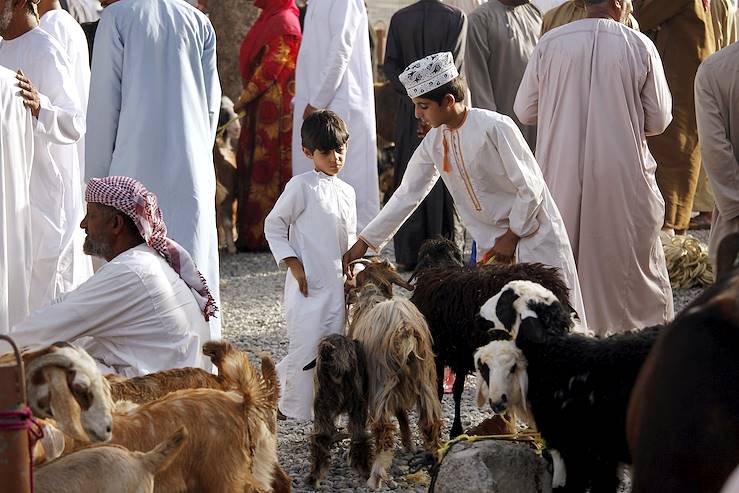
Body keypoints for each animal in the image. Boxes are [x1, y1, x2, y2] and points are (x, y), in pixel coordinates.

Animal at [302, 332, 372, 490]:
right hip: (357, 407)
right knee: (360, 437)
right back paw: (365, 470)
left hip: (322, 409)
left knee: (320, 440)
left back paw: (314, 477)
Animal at [350, 284, 442, 488]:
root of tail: (405, 328)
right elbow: (402, 415)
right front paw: (409, 444)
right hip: (425, 380)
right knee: (430, 422)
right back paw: (436, 458)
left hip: (382, 382)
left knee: (383, 427)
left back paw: (377, 474)